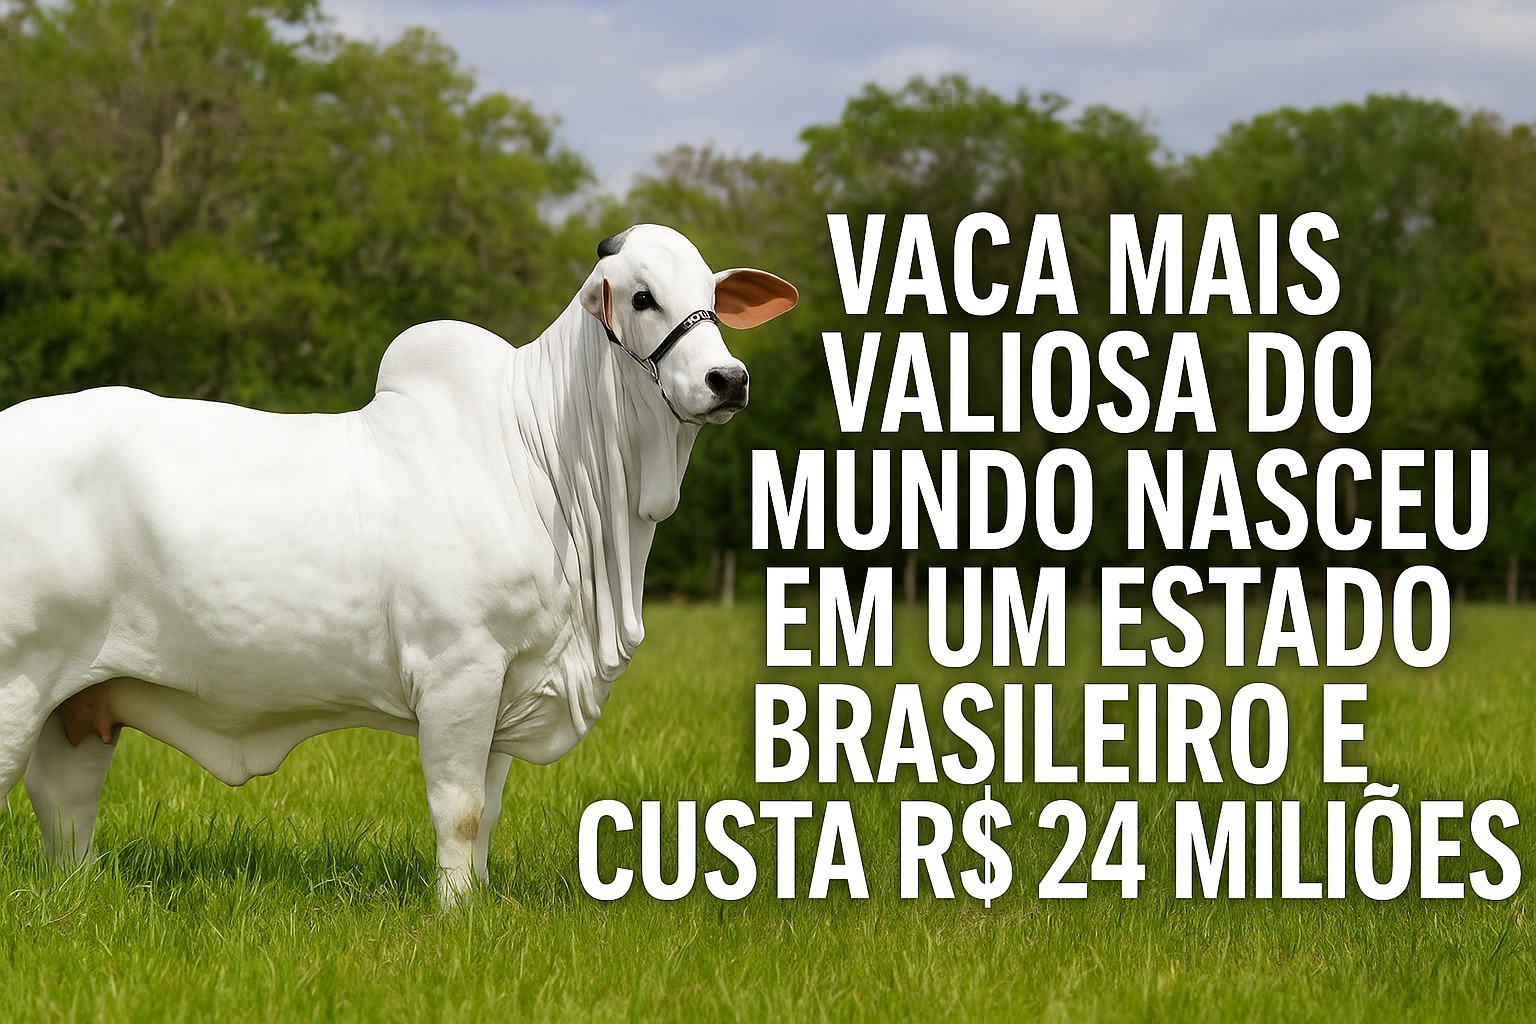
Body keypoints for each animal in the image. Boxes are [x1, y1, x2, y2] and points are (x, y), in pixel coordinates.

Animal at [0, 224, 797, 905]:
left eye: (712, 294)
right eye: (641, 296)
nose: (728, 378)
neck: (544, 457)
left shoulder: (509, 683)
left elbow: (490, 808)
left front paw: (477, 903)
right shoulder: (459, 672)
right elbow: (461, 809)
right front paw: (453, 913)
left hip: (79, 704)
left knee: (65, 805)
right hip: (18, 682)